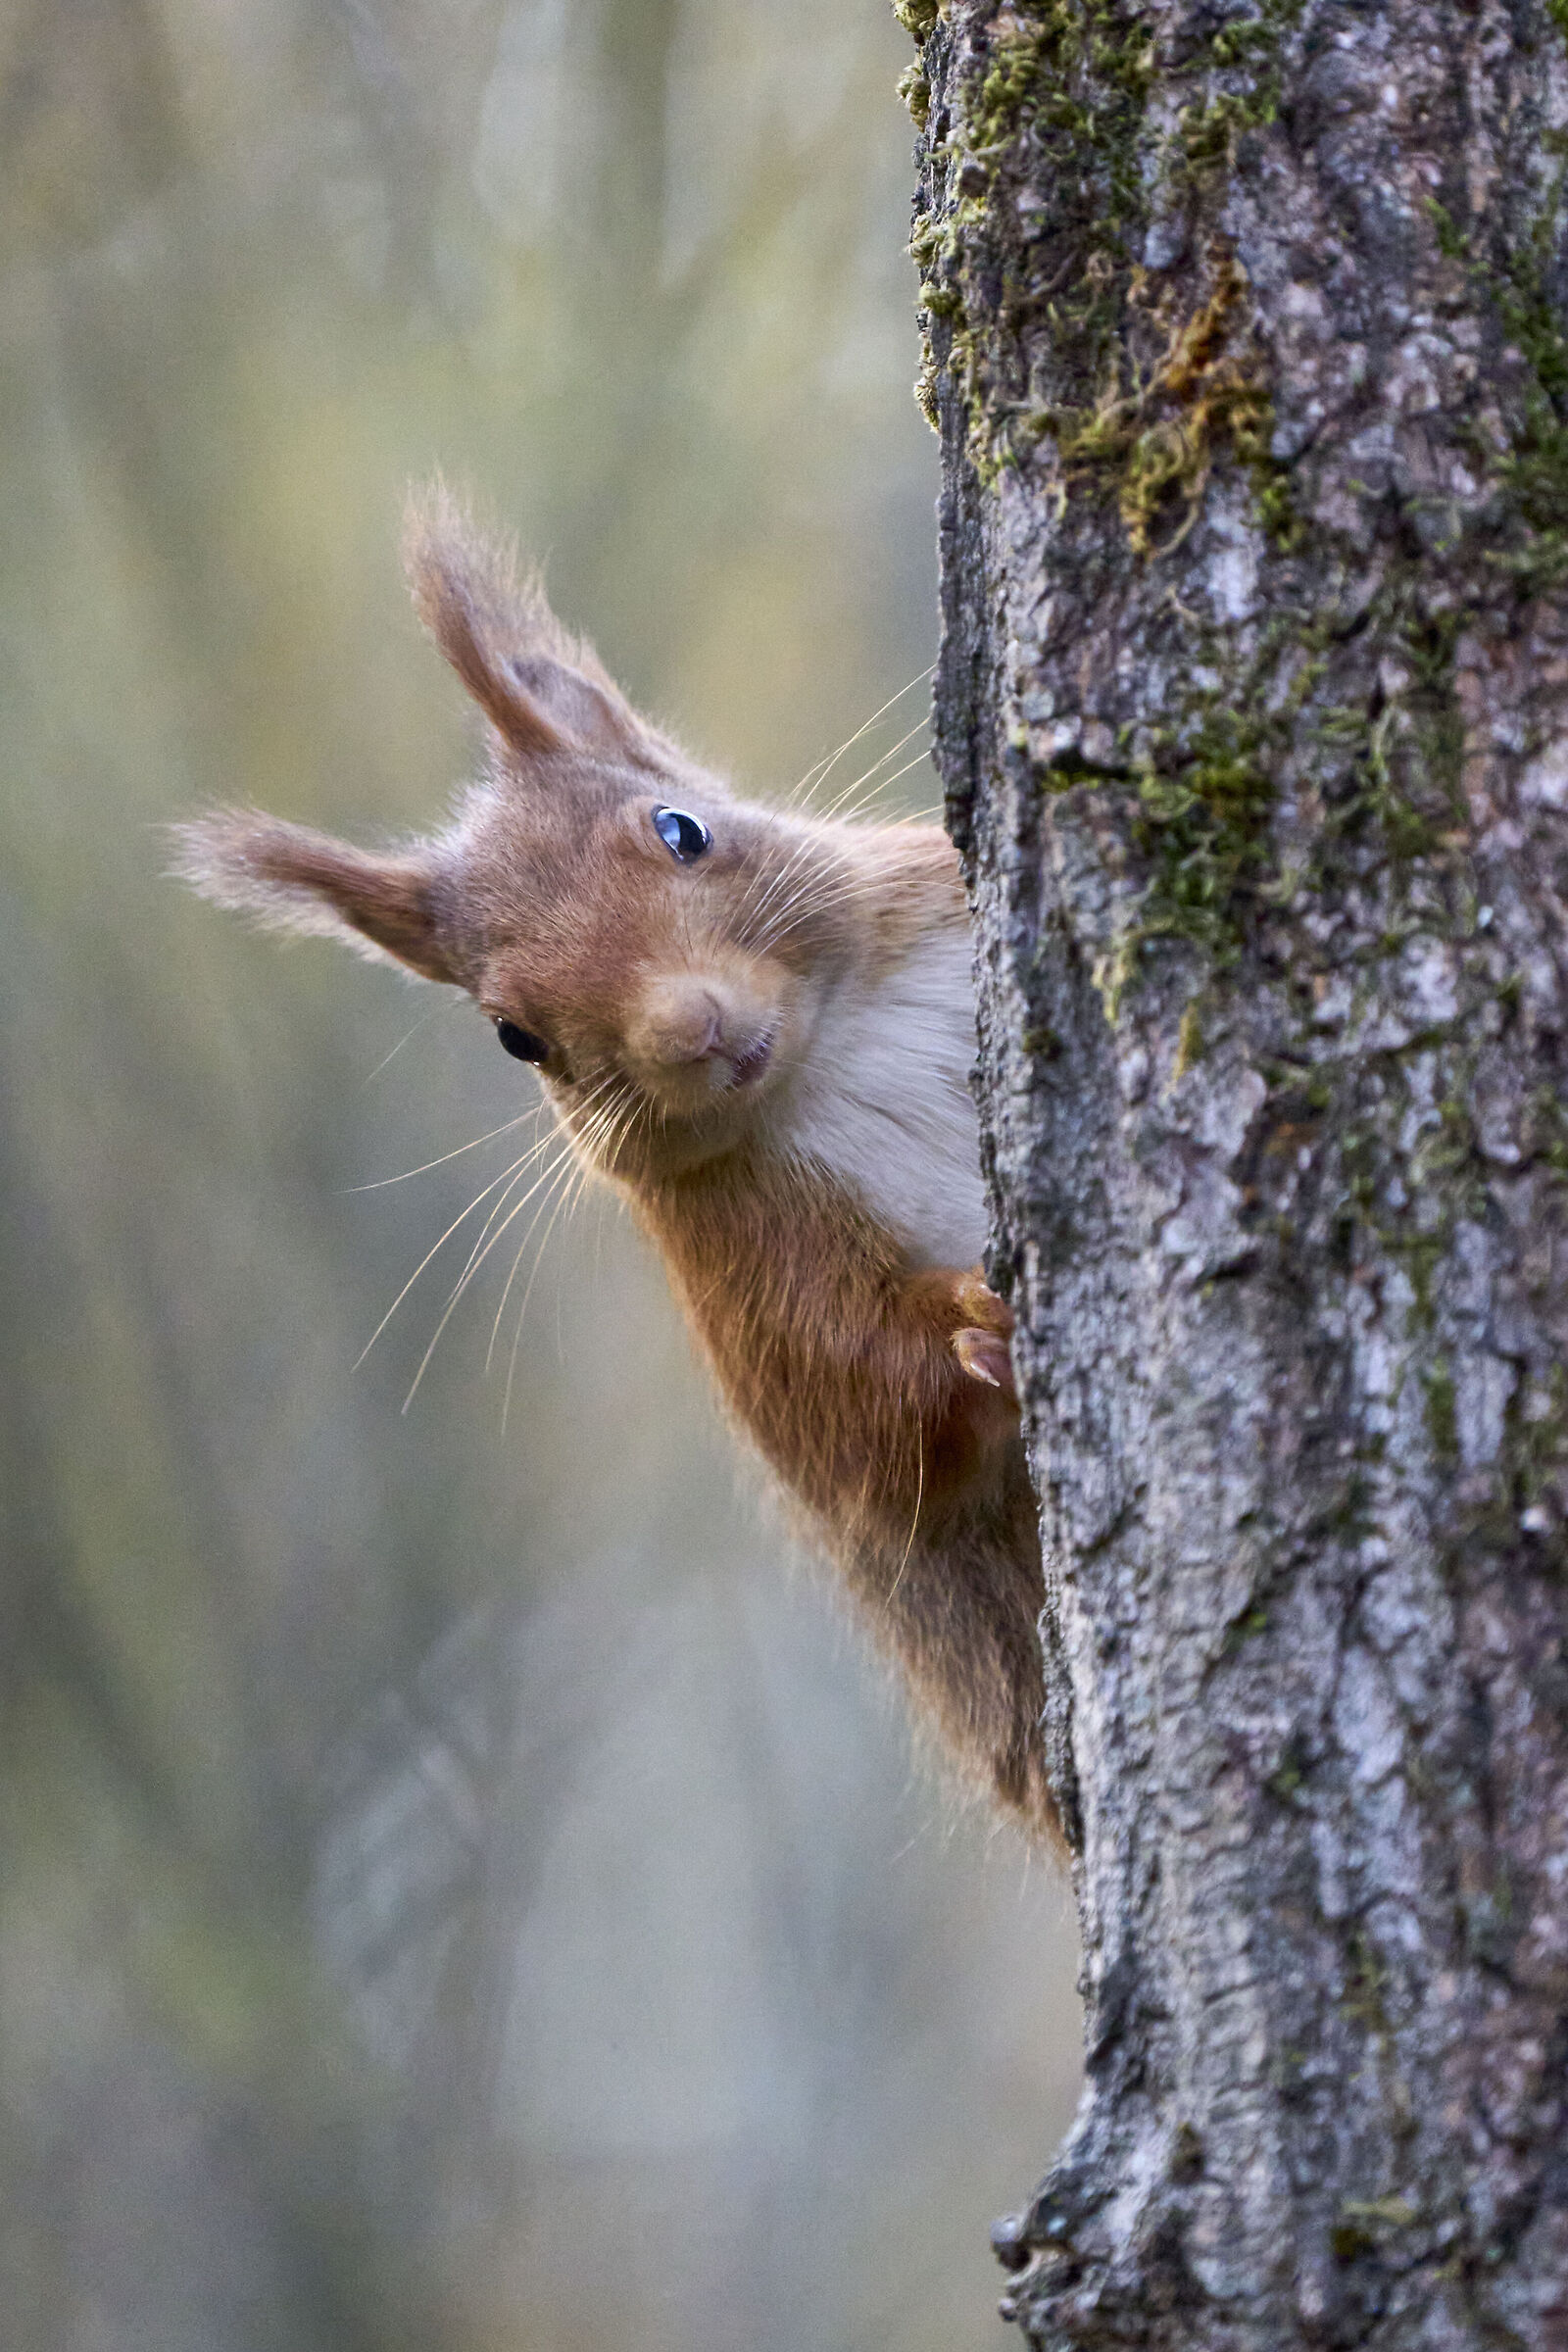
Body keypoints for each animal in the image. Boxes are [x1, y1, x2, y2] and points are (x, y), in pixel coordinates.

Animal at [176, 490, 1057, 1846]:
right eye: (514, 1034)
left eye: (680, 828)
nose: (688, 1028)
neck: (831, 1053)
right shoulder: (739, 1258)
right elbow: (856, 1420)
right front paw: (973, 1329)